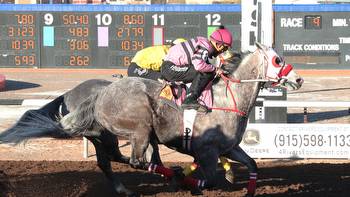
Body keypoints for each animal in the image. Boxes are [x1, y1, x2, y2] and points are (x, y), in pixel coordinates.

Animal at [58, 42, 304, 195]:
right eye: (277, 60)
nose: (299, 79)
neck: (227, 100)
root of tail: (101, 94)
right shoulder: (207, 151)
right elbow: (209, 180)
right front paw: (188, 181)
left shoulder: (229, 148)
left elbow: (252, 164)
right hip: (139, 129)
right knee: (136, 161)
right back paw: (171, 176)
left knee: (117, 159)